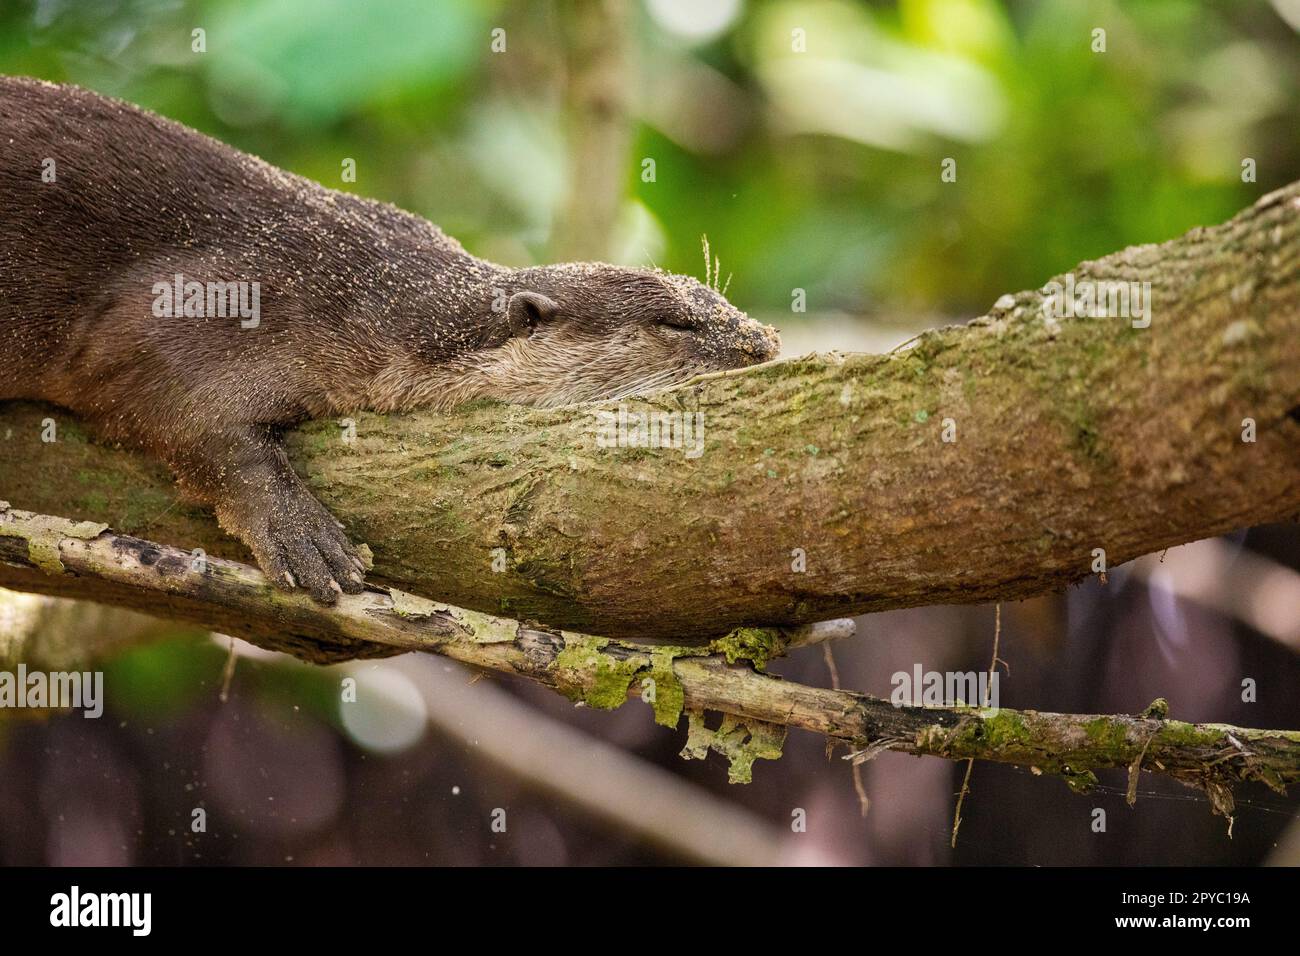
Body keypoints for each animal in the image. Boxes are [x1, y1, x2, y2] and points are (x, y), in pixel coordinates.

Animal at [0, 80, 769, 606]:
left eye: (721, 303)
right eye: (676, 323)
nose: (761, 341)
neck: (364, 300)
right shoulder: (198, 300)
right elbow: (180, 410)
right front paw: (299, 532)